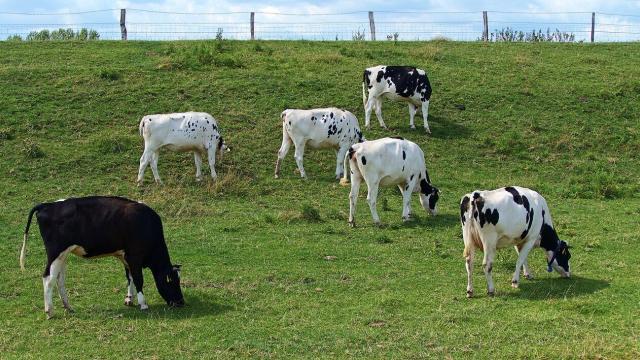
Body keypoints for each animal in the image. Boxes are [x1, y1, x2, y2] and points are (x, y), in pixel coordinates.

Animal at [19, 197, 185, 318]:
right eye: (172, 281)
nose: (181, 302)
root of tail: (47, 205)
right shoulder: (135, 256)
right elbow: (138, 279)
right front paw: (143, 304)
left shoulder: (125, 256)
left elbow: (129, 277)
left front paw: (129, 299)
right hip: (55, 253)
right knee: (48, 278)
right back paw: (50, 311)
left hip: (63, 255)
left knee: (59, 279)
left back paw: (68, 307)